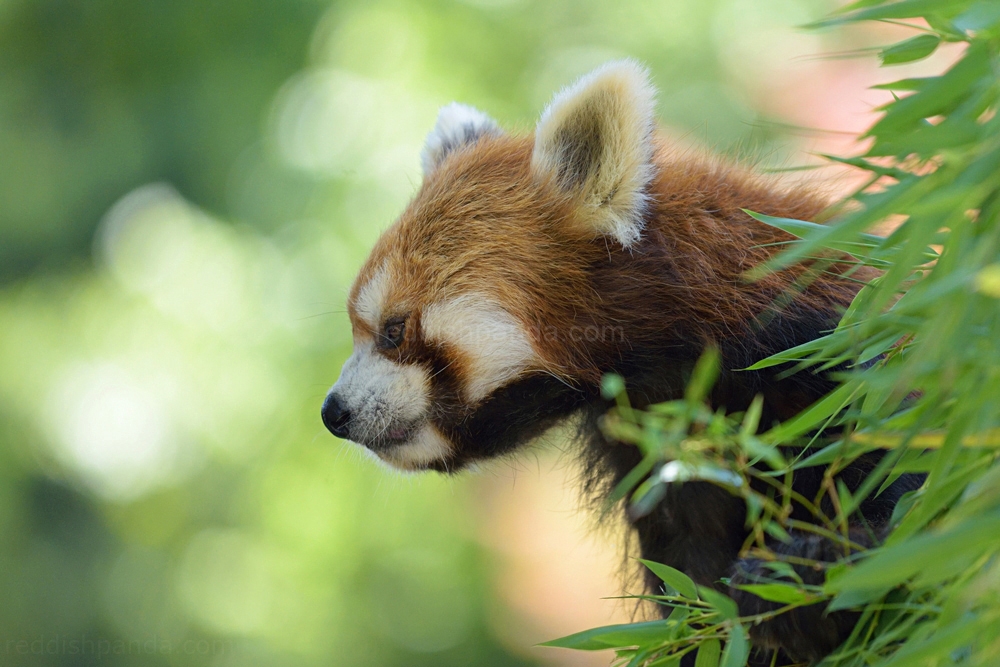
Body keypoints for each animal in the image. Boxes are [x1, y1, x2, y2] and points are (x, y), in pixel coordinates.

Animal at [322, 61, 920, 664]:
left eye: (394, 330)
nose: (334, 413)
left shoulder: (832, 345)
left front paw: (811, 576)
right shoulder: (666, 460)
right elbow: (692, 590)